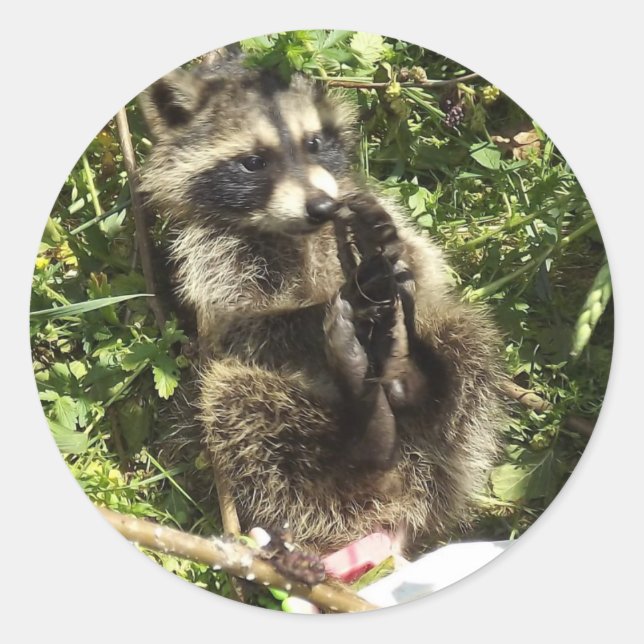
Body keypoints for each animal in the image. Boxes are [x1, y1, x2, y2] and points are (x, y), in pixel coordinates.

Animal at [139, 53, 507, 557]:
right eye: (253, 162)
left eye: (314, 143)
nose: (320, 206)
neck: (292, 231)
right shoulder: (210, 256)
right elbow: (238, 332)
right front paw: (321, 309)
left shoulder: (371, 208)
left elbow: (428, 269)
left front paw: (394, 267)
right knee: (235, 398)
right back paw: (366, 439)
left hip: (444, 435)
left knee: (463, 337)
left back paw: (413, 374)